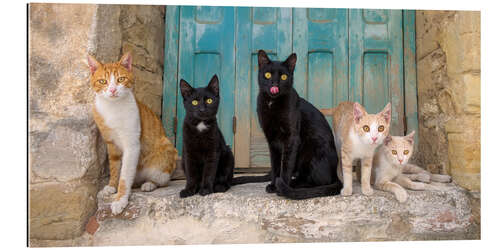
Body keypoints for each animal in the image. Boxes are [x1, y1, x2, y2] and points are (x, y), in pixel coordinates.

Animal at [87, 52, 178, 215]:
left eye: (120, 79)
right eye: (102, 81)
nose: (112, 90)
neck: (113, 108)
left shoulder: (132, 146)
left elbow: (124, 176)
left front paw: (120, 200)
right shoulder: (111, 143)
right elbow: (114, 167)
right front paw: (112, 186)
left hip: (164, 152)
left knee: (163, 180)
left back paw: (149, 184)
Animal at [256, 50, 342, 199]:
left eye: (284, 76)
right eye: (267, 75)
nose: (275, 84)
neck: (272, 103)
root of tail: (336, 174)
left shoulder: (292, 138)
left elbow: (286, 165)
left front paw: (280, 186)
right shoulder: (272, 141)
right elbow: (275, 165)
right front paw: (273, 184)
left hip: (312, 150)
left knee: (319, 180)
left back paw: (292, 184)